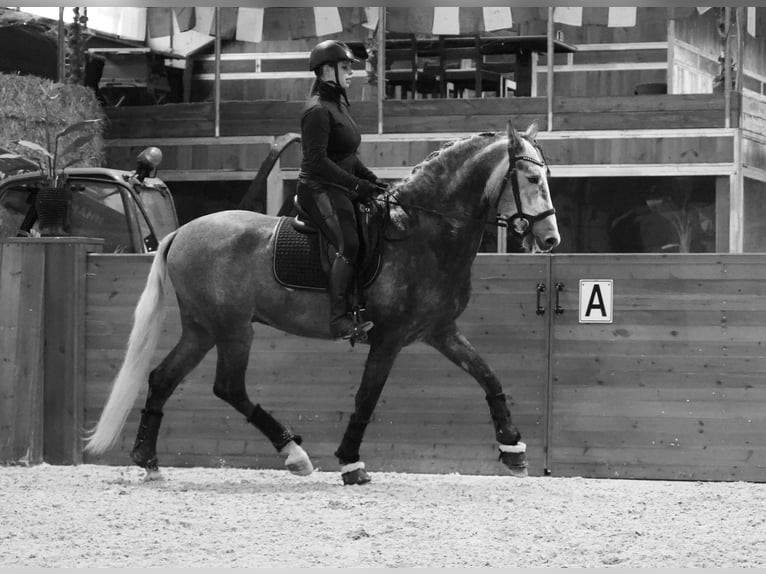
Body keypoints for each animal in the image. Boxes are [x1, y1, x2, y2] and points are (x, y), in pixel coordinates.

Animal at [84, 120, 560, 486]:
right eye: (532, 180)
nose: (551, 239)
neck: (422, 232)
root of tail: (181, 233)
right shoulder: (388, 338)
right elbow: (366, 398)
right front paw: (351, 463)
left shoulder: (440, 332)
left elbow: (488, 376)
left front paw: (513, 448)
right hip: (233, 328)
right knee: (228, 387)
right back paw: (294, 455)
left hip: (203, 328)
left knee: (163, 378)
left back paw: (148, 461)